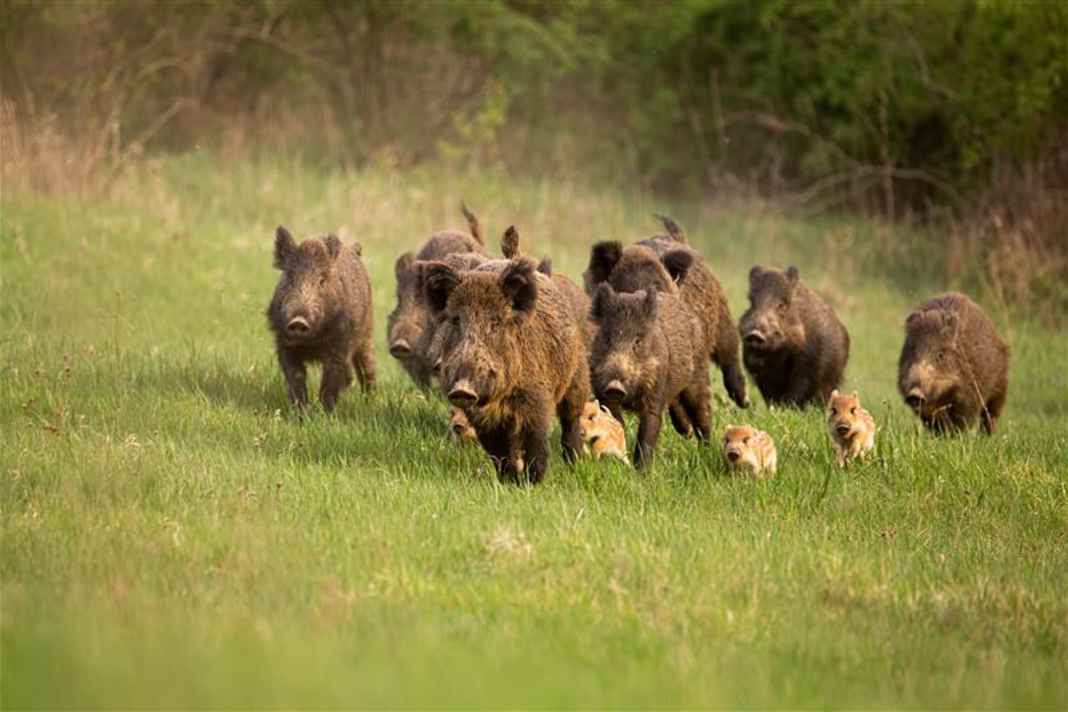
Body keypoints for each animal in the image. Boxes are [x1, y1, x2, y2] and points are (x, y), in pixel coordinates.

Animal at [267, 226, 375, 411]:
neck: (311, 343)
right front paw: (301, 412)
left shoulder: (339, 345)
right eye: (290, 278)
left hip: (366, 334)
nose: (298, 321)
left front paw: (326, 413)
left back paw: (371, 402)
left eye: (322, 281)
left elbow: (330, 380)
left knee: (367, 366)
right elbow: (296, 376)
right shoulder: (284, 344)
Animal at [424, 256, 591, 484]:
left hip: (577, 377)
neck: (499, 399)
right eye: (457, 320)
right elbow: (499, 453)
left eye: (495, 323)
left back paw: (575, 462)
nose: (462, 389)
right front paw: (509, 482)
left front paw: (533, 482)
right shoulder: (483, 420)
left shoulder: (537, 401)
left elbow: (536, 444)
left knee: (570, 419)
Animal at [589, 284, 711, 468]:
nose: (615, 387)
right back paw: (688, 433)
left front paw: (641, 471)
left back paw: (706, 449)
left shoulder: (655, 390)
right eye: (608, 339)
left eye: (637, 341)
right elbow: (616, 421)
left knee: (703, 413)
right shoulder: (601, 391)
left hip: (699, 376)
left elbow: (649, 429)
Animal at [739, 266, 850, 408]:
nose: (754, 334)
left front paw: (786, 407)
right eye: (752, 303)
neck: (779, 353)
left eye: (782, 305)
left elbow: (798, 389)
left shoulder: (809, 365)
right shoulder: (759, 369)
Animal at [898, 292, 1009, 434]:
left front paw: (956, 435)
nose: (914, 394)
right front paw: (940, 434)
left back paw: (987, 434)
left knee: (991, 414)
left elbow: (963, 418)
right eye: (912, 350)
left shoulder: (969, 394)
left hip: (1001, 385)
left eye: (940, 354)